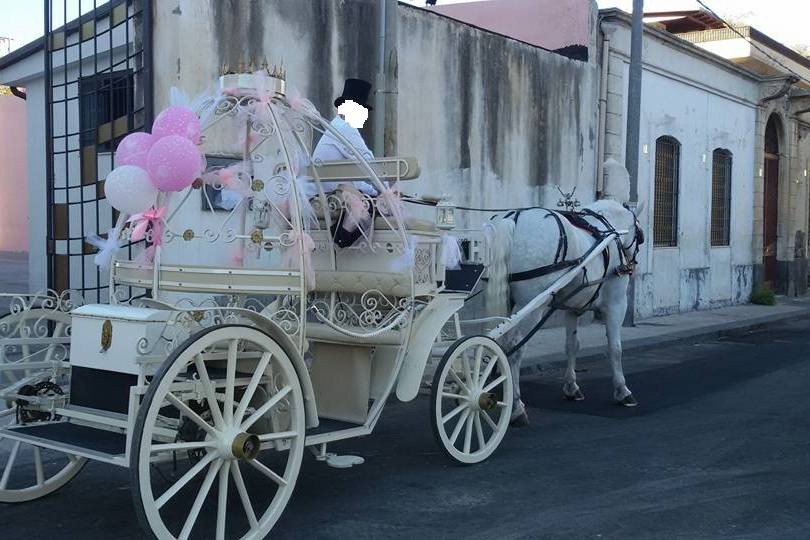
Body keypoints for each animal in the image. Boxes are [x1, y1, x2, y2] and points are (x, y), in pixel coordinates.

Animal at [480, 190, 644, 426]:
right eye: (639, 235)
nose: (631, 266)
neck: (608, 234)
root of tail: (513, 219)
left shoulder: (572, 307)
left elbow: (572, 345)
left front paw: (571, 387)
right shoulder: (616, 304)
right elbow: (615, 348)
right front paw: (622, 391)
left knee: (500, 343)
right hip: (531, 305)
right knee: (515, 347)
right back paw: (517, 407)